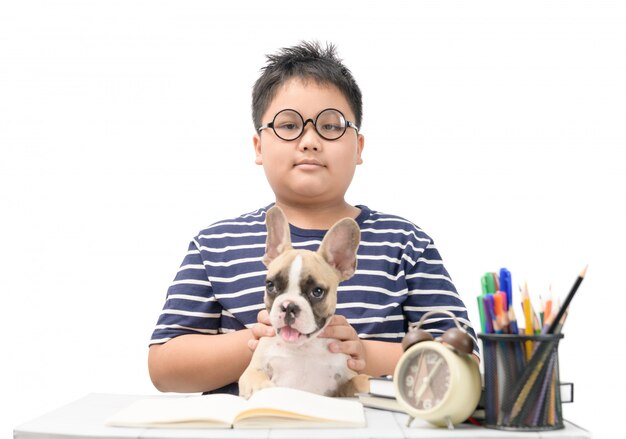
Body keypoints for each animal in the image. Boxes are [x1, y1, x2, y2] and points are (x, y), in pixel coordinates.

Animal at [236, 206, 368, 398]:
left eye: (317, 292)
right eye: (270, 285)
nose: (288, 306)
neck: (302, 348)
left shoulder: (345, 376)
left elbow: (360, 380)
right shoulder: (254, 369)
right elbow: (255, 378)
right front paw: (262, 390)